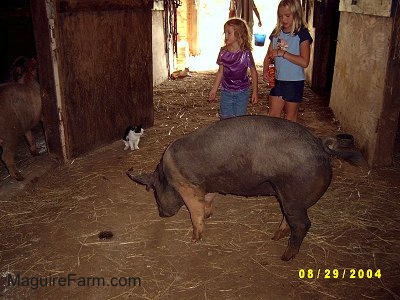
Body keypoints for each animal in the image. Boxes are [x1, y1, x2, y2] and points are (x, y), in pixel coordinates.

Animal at [127, 116, 362, 262]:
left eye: (154, 189)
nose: (161, 214)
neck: (168, 175)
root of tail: (321, 146)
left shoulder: (187, 186)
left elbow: (195, 213)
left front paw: (194, 239)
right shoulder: (209, 185)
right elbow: (208, 200)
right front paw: (209, 214)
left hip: (293, 196)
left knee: (303, 224)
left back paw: (285, 256)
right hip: (289, 199)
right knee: (291, 220)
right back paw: (275, 237)